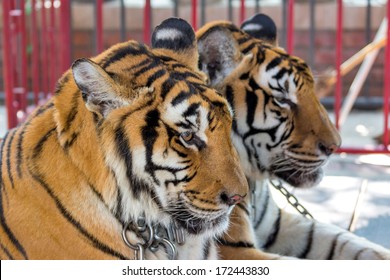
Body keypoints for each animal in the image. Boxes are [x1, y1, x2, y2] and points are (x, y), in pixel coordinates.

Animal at [197, 12, 390, 258]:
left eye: (312, 89)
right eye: (283, 100)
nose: (335, 146)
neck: (255, 185)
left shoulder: (279, 225)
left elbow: (347, 240)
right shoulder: (235, 249)